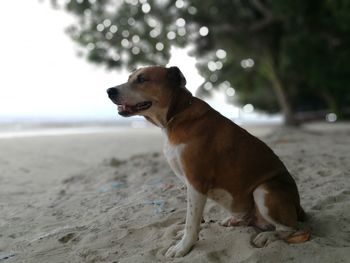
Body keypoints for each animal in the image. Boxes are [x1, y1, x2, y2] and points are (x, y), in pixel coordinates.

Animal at [106, 65, 308, 258]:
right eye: (129, 78)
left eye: (142, 79)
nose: (109, 91)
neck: (176, 115)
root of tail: (299, 208)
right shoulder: (190, 185)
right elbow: (193, 219)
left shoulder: (196, 183)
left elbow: (191, 222)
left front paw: (183, 247)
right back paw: (236, 220)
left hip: (264, 190)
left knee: (290, 228)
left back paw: (267, 236)